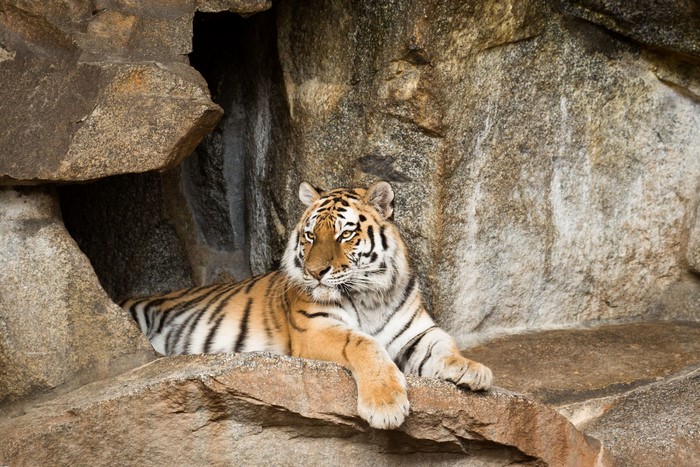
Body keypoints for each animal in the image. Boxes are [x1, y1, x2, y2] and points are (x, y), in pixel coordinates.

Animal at [121, 180, 493, 429]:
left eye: (345, 235)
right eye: (311, 235)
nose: (315, 273)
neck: (369, 295)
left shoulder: (416, 332)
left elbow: (444, 344)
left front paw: (473, 369)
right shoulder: (315, 328)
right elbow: (365, 343)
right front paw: (386, 404)